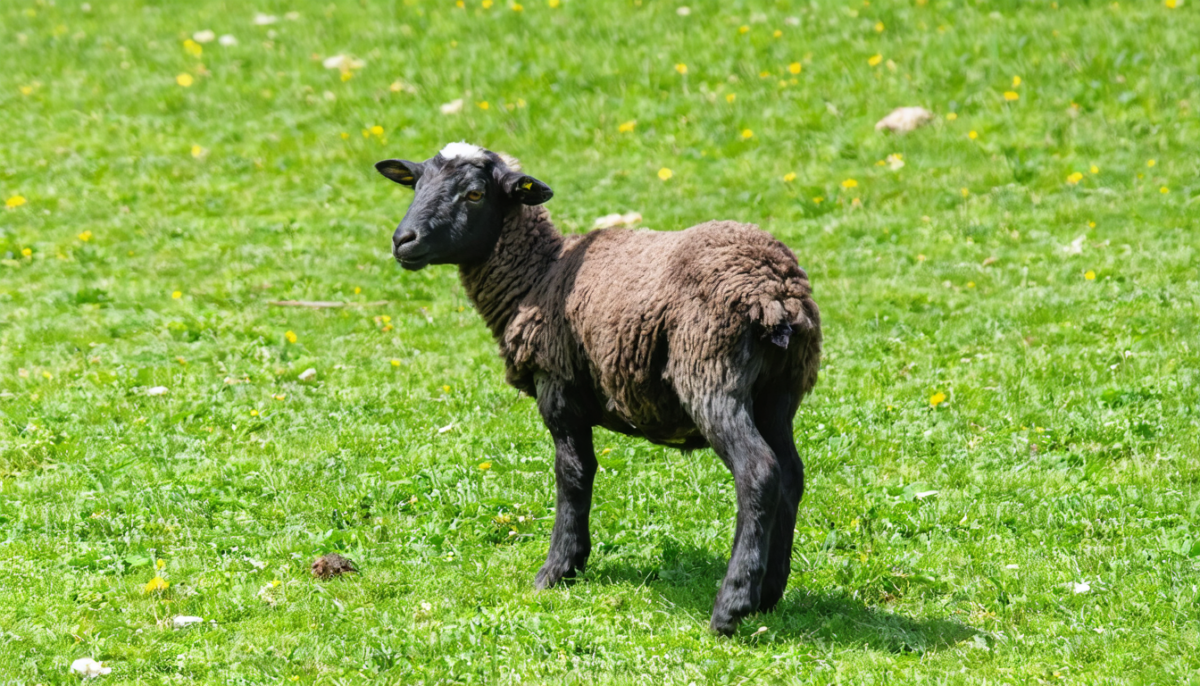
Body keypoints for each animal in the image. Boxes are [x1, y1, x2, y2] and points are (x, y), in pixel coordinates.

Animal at [375, 143, 821, 635]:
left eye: (474, 194)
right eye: (416, 184)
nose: (403, 241)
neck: (538, 273)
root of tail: (775, 292)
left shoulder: (557, 385)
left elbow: (573, 474)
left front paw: (558, 569)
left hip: (712, 374)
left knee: (758, 471)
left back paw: (732, 605)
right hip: (781, 392)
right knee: (791, 474)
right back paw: (770, 594)